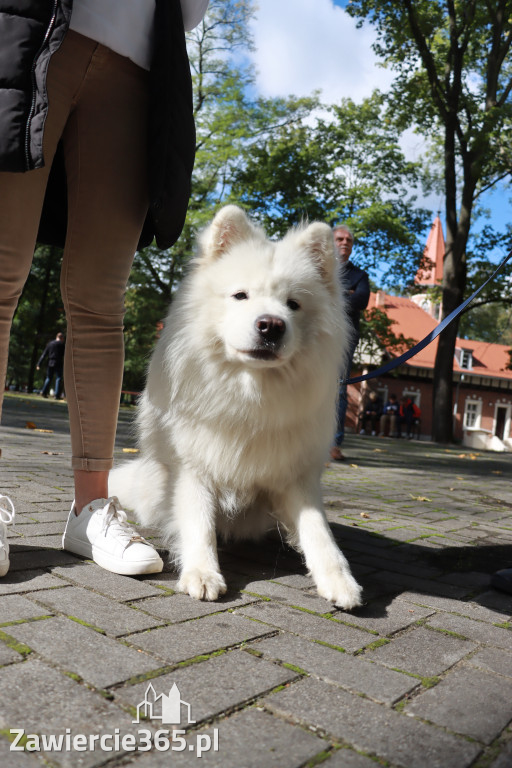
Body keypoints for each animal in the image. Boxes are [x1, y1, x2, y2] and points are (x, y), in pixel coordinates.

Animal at [110, 207, 362, 608]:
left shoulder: (295, 474)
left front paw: (339, 580)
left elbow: (318, 531)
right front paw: (202, 573)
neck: (249, 395)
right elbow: (198, 521)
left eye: (293, 304)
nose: (271, 325)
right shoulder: (194, 464)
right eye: (240, 295)